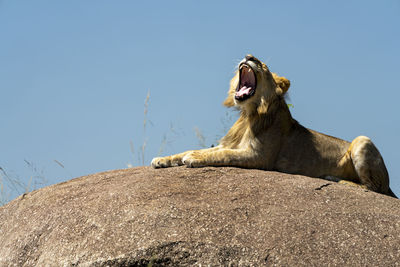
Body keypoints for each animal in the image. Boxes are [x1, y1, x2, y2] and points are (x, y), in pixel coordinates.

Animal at [151, 54, 396, 198]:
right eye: (251, 57)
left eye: (263, 65)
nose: (248, 56)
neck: (249, 114)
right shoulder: (229, 144)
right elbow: (195, 150)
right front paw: (163, 159)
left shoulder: (258, 156)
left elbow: (220, 156)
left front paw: (193, 158)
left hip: (362, 140)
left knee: (376, 190)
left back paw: (337, 180)